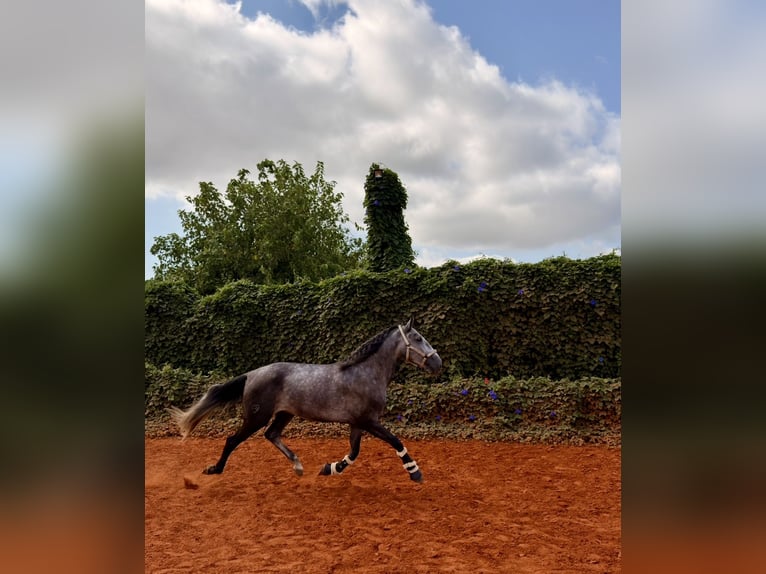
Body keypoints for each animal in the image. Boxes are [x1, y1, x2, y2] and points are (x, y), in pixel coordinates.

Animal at [169, 317, 442, 482]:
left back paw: (298, 466)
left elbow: (354, 452)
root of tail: (252, 374)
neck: (365, 374)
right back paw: (215, 469)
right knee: (233, 440)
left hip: (284, 414)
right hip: (257, 416)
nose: (438, 363)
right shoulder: (369, 421)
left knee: (271, 435)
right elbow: (395, 440)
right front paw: (415, 473)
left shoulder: (357, 423)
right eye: (418, 338)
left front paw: (329, 468)